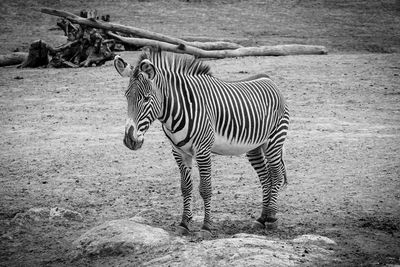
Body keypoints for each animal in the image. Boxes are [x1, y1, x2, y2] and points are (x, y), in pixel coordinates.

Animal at [114, 50, 290, 239]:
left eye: (146, 99)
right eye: (127, 97)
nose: (129, 140)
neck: (177, 110)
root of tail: (269, 79)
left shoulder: (203, 150)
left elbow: (205, 188)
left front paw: (206, 227)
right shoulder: (179, 151)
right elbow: (186, 187)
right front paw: (184, 223)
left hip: (274, 141)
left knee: (276, 175)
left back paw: (271, 219)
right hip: (255, 147)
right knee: (266, 178)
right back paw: (261, 218)